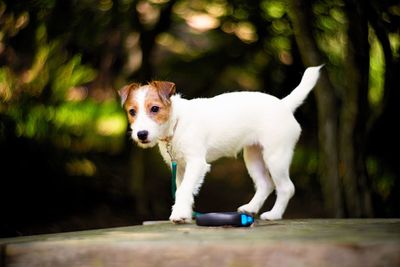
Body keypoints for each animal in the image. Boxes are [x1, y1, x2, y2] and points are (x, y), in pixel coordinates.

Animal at [118, 65, 322, 224]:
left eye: (155, 108)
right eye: (132, 112)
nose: (141, 134)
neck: (177, 122)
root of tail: (283, 104)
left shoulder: (196, 163)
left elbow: (184, 190)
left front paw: (179, 214)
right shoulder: (181, 167)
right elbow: (184, 190)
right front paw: (185, 212)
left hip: (275, 157)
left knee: (286, 187)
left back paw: (274, 214)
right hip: (253, 157)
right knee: (266, 184)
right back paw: (250, 208)